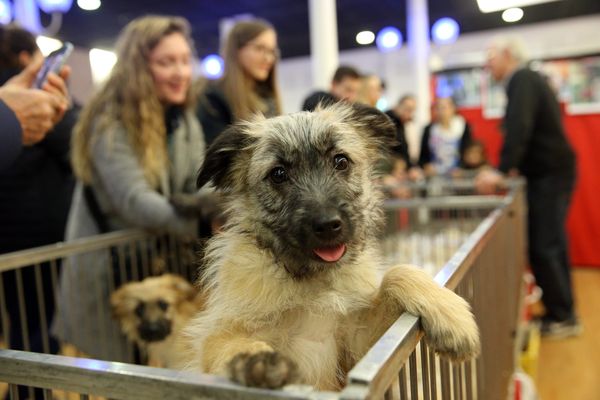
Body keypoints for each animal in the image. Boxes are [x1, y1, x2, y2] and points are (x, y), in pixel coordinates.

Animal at [180, 101, 480, 390]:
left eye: (341, 161)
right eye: (278, 174)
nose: (327, 225)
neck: (311, 282)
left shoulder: (359, 351)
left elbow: (398, 273)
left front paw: (451, 315)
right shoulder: (220, 337)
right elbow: (228, 345)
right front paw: (258, 359)